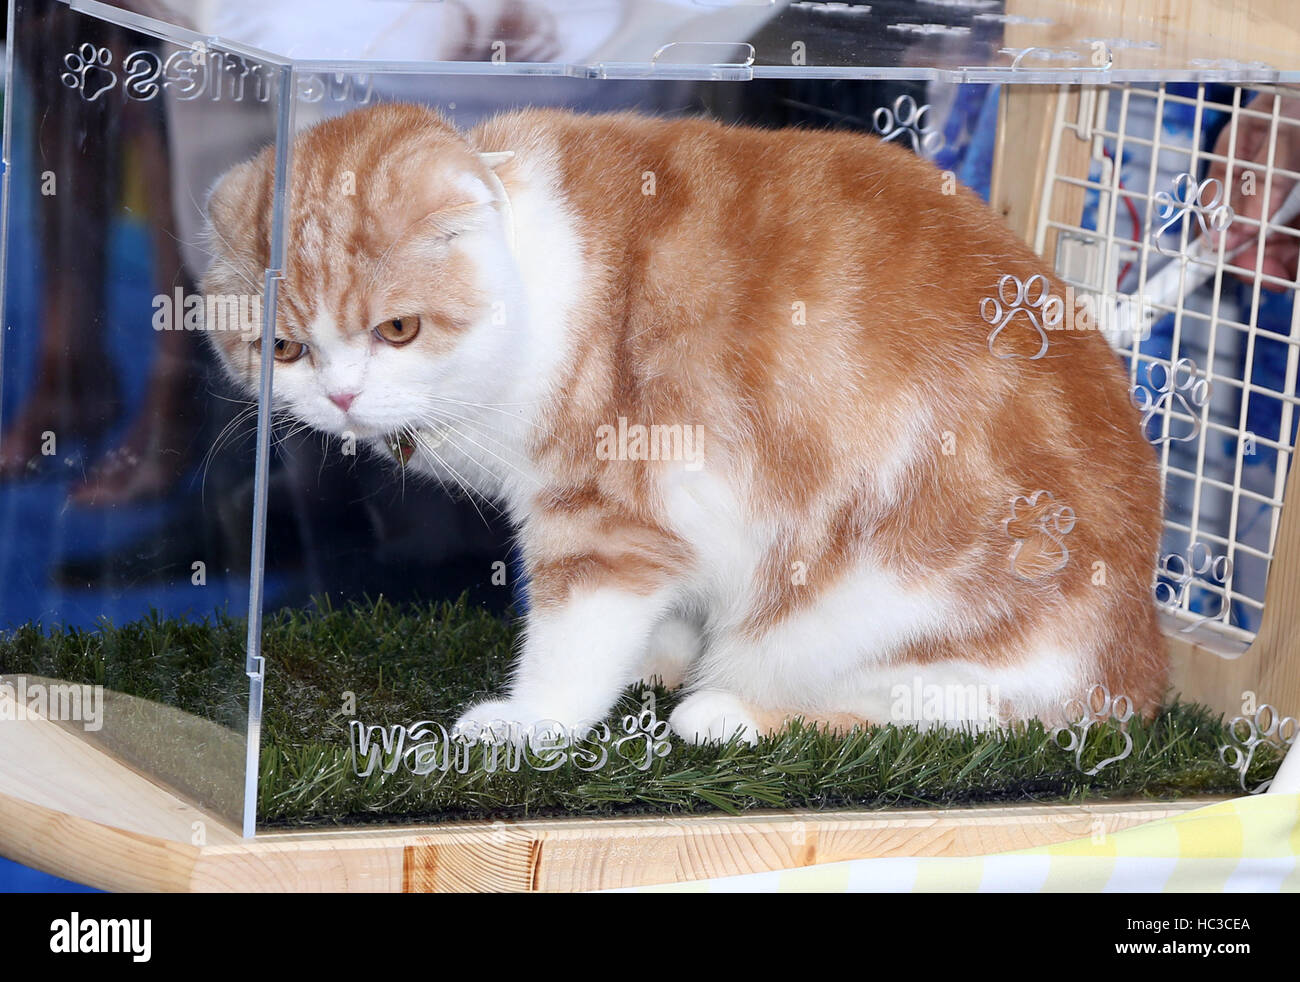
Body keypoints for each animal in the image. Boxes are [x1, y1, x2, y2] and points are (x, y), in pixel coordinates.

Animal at [205, 102, 1170, 743]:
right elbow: (664, 612)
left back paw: (732, 711)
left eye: (398, 329)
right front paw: (655, 660)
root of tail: (1141, 664)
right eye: (284, 347)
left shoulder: (606, 521)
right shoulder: (674, 536)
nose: (341, 396)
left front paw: (530, 721)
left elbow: (573, 642)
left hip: (888, 611)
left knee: (958, 718)